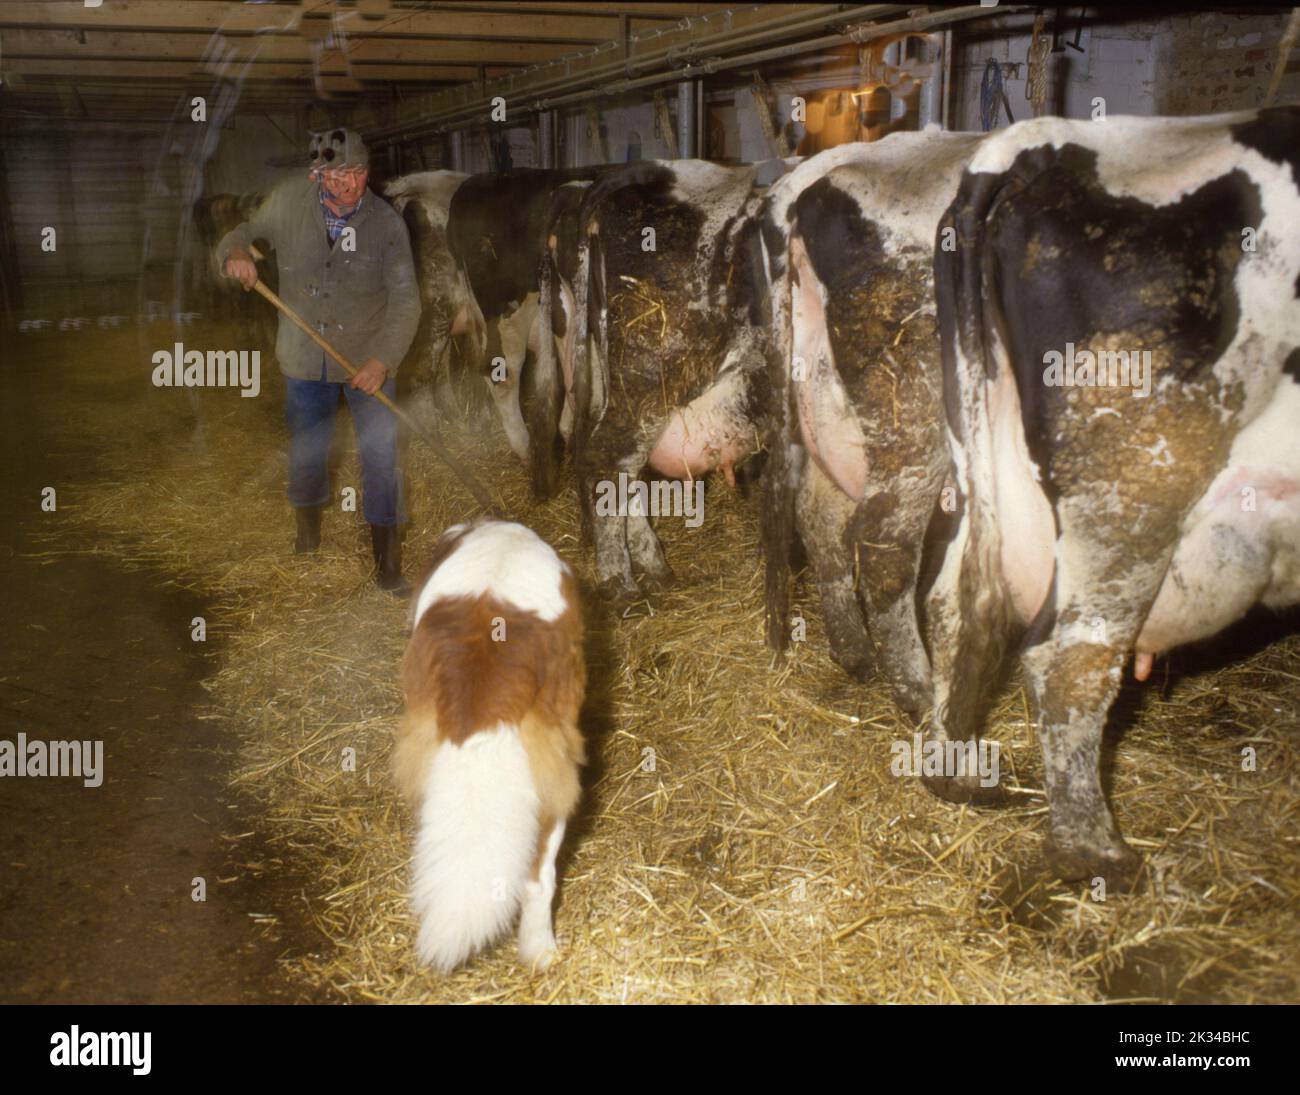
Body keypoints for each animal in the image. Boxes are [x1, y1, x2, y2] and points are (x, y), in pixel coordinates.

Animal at [759, 131, 982, 712]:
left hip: (826, 414)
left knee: (813, 516)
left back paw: (853, 652)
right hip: (913, 419)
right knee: (883, 550)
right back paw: (921, 694)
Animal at [925, 106, 1300, 884]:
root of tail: (1033, 145)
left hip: (980, 463)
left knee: (953, 604)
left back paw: (959, 775)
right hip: (1134, 492)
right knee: (1068, 657)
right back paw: (1099, 852)